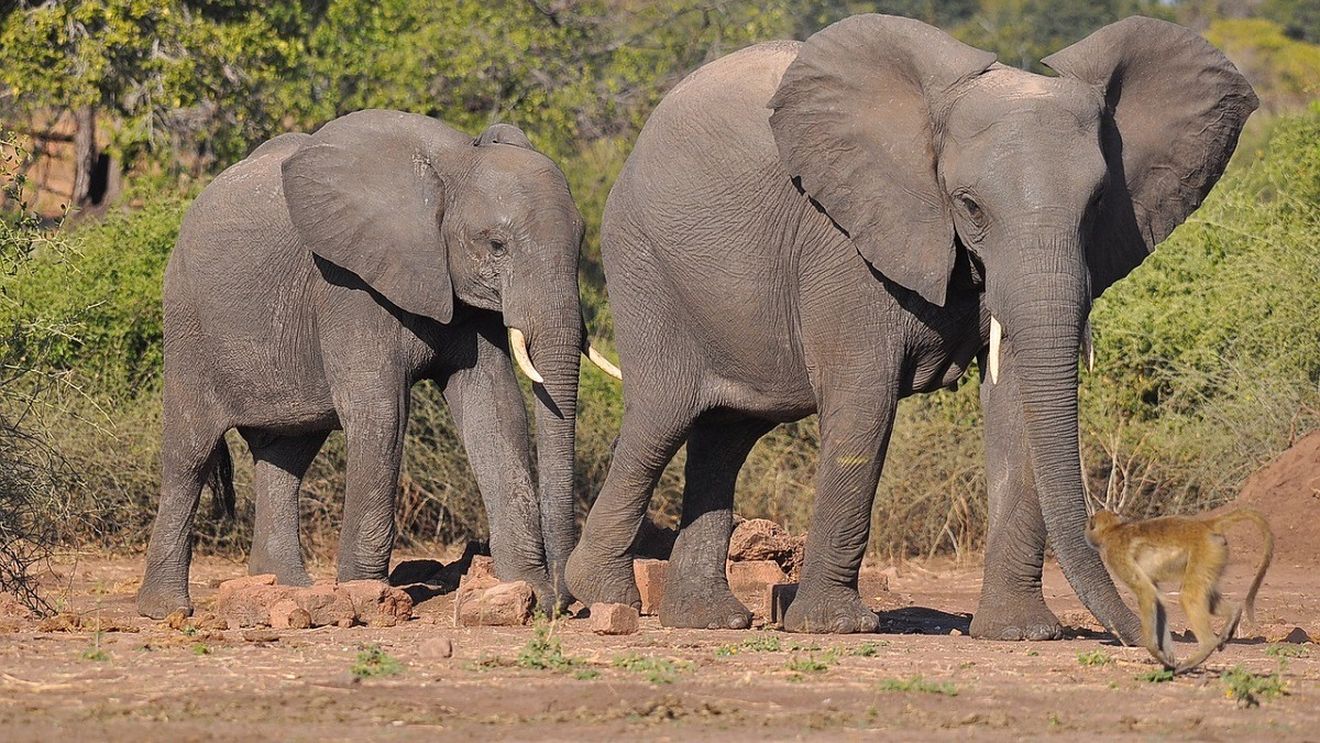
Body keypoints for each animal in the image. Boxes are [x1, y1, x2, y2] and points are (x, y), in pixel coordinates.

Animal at [137, 109, 620, 619]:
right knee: (190, 454)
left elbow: (495, 409)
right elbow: (381, 412)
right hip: (188, 323)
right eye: (496, 245)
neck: (452, 165)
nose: (567, 603)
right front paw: (365, 598)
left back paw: (288, 590)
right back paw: (167, 610)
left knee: (286, 455)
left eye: (582, 239)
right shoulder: (348, 284)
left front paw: (529, 594)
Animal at [565, 16, 1256, 637]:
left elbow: (1014, 405)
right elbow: (864, 405)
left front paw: (1020, 633)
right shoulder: (843, 240)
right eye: (969, 205)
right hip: (644, 268)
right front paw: (834, 628)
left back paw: (708, 621)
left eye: (1097, 205)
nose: (1160, 634)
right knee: (662, 417)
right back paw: (603, 598)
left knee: (726, 434)